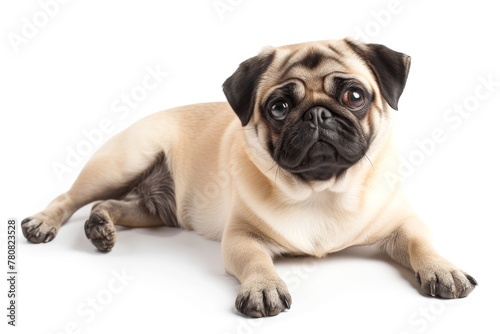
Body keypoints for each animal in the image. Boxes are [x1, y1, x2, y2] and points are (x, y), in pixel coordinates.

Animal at [22, 37, 476, 318]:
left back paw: (100, 227)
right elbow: (257, 260)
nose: (317, 114)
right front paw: (263, 287)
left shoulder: (403, 223)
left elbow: (420, 243)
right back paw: (45, 223)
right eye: (279, 107)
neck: (322, 190)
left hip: (157, 210)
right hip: (122, 161)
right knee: (71, 198)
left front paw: (443, 269)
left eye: (354, 96)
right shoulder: (241, 237)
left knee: (113, 206)